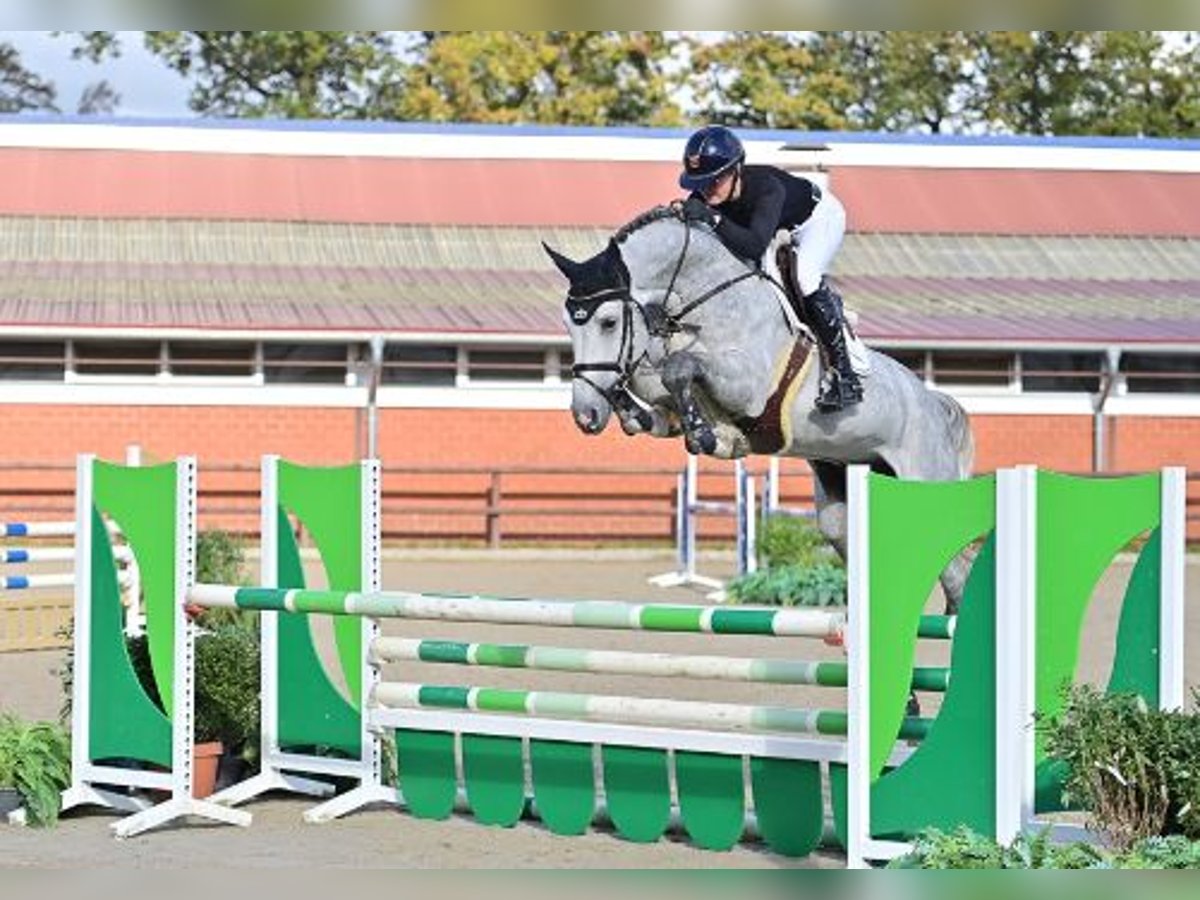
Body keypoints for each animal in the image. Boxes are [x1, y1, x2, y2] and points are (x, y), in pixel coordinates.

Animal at [544, 206, 974, 614]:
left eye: (608, 322)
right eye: (569, 323)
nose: (585, 415)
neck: (706, 302)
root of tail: (934, 403)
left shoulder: (747, 385)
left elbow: (678, 367)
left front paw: (706, 435)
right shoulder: (668, 399)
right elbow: (658, 394)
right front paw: (631, 406)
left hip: (923, 477)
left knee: (955, 569)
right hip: (843, 489)